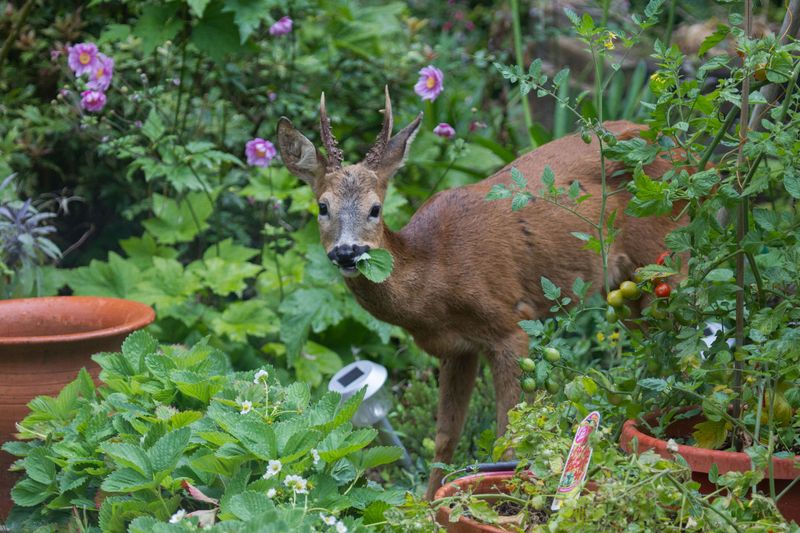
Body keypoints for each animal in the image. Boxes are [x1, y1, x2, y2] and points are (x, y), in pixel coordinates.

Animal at [276, 88, 680, 498]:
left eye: (375, 208)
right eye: (322, 206)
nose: (347, 252)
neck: (436, 276)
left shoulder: (511, 326)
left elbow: (509, 436)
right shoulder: (456, 348)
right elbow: (445, 436)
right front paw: (428, 504)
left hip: (663, 255)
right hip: (624, 289)